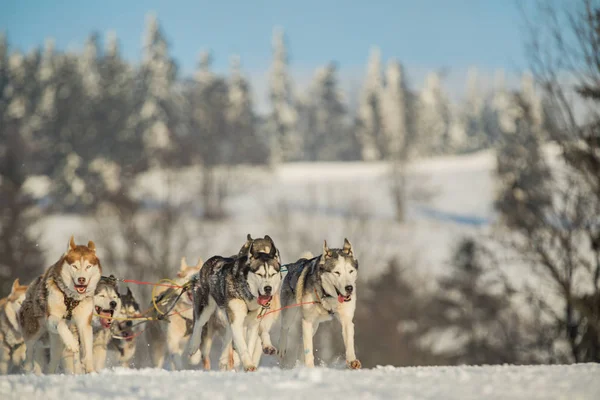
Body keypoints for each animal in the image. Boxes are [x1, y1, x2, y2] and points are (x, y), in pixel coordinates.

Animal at [18, 236, 101, 374]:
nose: (81, 279)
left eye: (88, 266)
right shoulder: (51, 317)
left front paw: (90, 370)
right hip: (35, 330)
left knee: (53, 361)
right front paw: (72, 343)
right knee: (29, 349)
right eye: (74, 266)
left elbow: (88, 350)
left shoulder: (84, 323)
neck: (71, 298)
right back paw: (28, 367)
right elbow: (61, 323)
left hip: (56, 343)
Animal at [188, 234, 282, 372]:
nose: (268, 288)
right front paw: (248, 365)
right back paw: (193, 346)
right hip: (206, 307)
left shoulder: (253, 324)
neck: (248, 292)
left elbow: (250, 345)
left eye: (273, 274)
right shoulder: (237, 321)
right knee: (199, 325)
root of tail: (213, 259)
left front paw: (247, 363)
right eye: (259, 274)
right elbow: (242, 346)